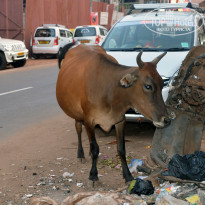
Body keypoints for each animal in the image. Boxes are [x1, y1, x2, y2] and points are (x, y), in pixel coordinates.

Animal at [56, 43, 170, 183]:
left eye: (162, 84)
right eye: (148, 86)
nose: (166, 120)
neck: (109, 91)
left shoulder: (120, 120)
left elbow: (121, 149)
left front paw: (127, 175)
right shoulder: (89, 120)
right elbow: (95, 148)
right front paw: (93, 175)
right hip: (77, 113)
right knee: (78, 128)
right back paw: (81, 154)